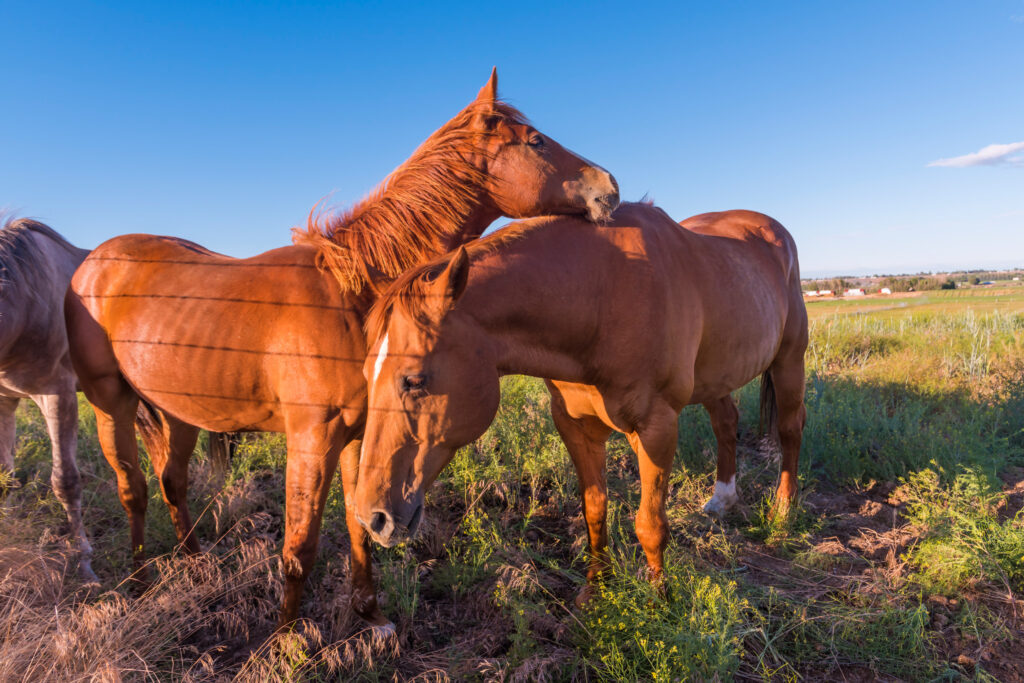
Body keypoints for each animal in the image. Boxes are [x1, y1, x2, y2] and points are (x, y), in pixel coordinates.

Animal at [68, 69, 618, 630]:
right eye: (536, 141)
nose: (609, 189)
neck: (352, 294)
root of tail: (94, 261)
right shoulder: (312, 439)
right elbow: (299, 546)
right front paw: (285, 639)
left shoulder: (361, 435)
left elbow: (361, 526)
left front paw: (371, 616)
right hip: (109, 404)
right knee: (133, 489)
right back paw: (139, 583)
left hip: (178, 413)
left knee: (172, 482)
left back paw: (196, 566)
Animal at [352, 202, 806, 610]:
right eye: (366, 376)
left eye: (414, 379)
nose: (372, 518)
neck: (602, 297)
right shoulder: (574, 426)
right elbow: (594, 510)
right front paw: (597, 590)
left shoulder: (656, 427)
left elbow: (650, 524)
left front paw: (658, 600)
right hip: (717, 375)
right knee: (727, 424)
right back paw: (723, 499)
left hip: (789, 360)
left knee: (789, 430)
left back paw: (783, 511)